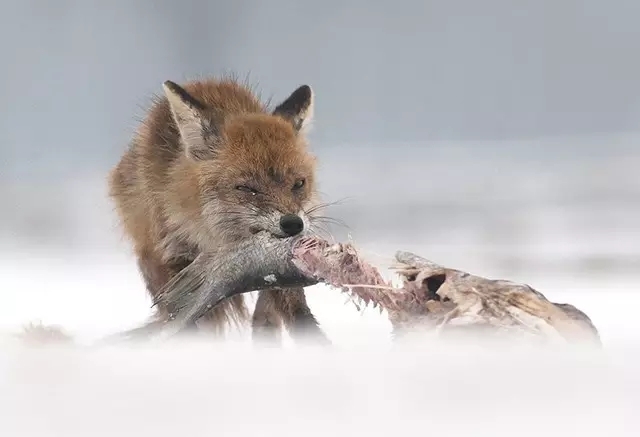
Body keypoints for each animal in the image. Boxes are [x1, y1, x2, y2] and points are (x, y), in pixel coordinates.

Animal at [107, 76, 330, 346]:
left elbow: (296, 312)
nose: (293, 223)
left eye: (299, 183)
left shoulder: (277, 271)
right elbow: (189, 317)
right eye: (246, 188)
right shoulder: (175, 258)